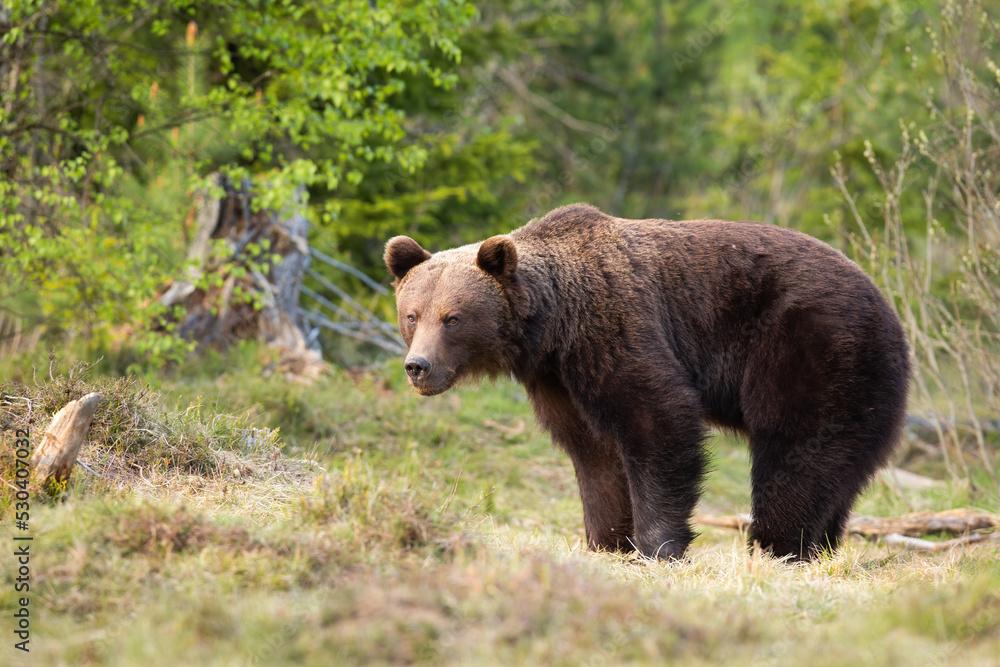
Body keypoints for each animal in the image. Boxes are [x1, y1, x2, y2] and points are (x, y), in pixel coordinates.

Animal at [380, 205, 908, 564]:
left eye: (453, 318)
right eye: (412, 314)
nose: (418, 366)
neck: (553, 327)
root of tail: (886, 303)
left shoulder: (616, 327)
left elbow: (658, 419)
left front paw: (658, 546)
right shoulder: (558, 380)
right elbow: (593, 455)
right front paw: (606, 541)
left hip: (811, 347)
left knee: (797, 447)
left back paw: (777, 545)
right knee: (841, 464)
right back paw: (820, 545)